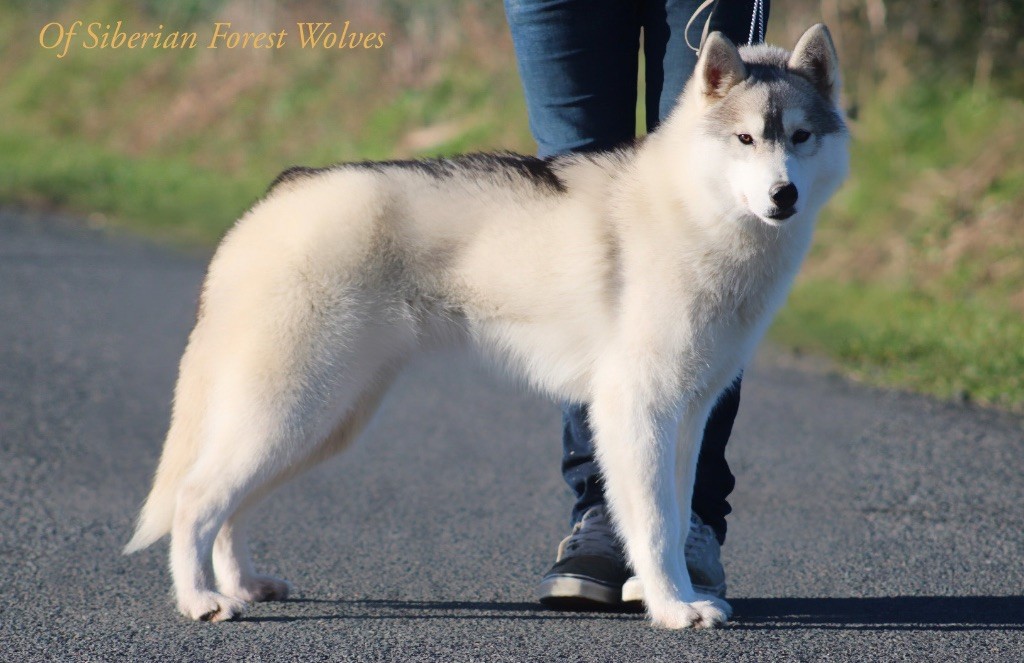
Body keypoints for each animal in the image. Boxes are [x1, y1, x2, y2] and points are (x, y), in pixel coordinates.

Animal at [125, 24, 847, 627]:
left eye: (801, 137)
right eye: (745, 138)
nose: (784, 196)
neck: (696, 211)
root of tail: (273, 199)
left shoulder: (689, 416)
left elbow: (676, 511)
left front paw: (674, 593)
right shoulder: (636, 409)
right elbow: (654, 524)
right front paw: (672, 608)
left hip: (322, 423)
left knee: (230, 509)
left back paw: (242, 584)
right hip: (291, 410)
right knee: (195, 500)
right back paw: (201, 599)